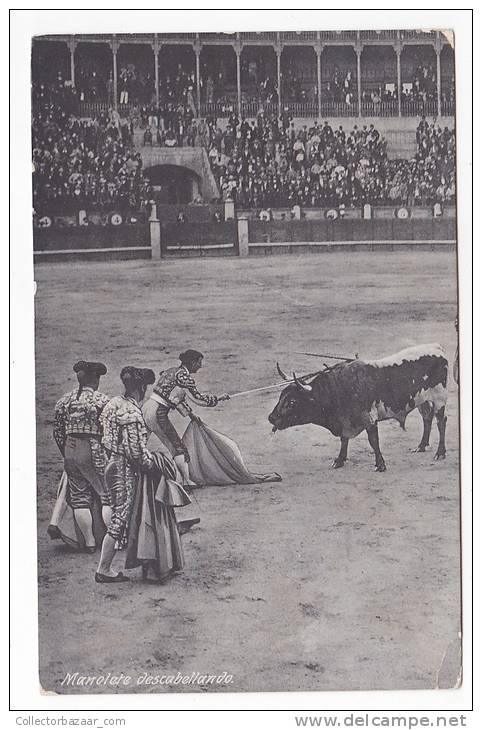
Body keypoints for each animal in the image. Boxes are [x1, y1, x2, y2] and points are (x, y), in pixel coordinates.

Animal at [270, 348, 450, 472]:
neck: (339, 388)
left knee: (441, 422)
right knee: (427, 419)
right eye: (281, 397)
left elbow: (373, 440)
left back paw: (440, 453)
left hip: (439, 399)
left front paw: (380, 464)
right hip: (422, 401)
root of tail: (438, 348)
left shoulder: (368, 417)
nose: (271, 418)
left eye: (292, 402)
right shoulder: (345, 421)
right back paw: (421, 446)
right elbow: (344, 439)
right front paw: (339, 460)